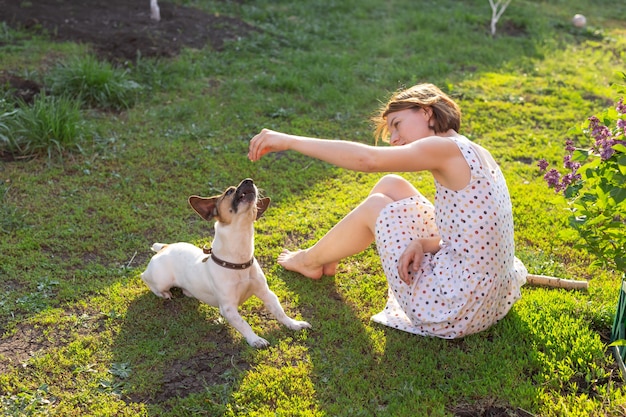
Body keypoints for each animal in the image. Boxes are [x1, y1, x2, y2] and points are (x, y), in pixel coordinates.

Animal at [140, 177, 310, 346]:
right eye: (229, 191)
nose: (249, 180)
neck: (239, 261)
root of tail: (165, 247)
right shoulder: (228, 308)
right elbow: (243, 324)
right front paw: (255, 339)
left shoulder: (266, 293)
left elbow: (279, 311)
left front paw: (294, 324)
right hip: (161, 279)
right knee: (146, 279)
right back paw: (164, 293)